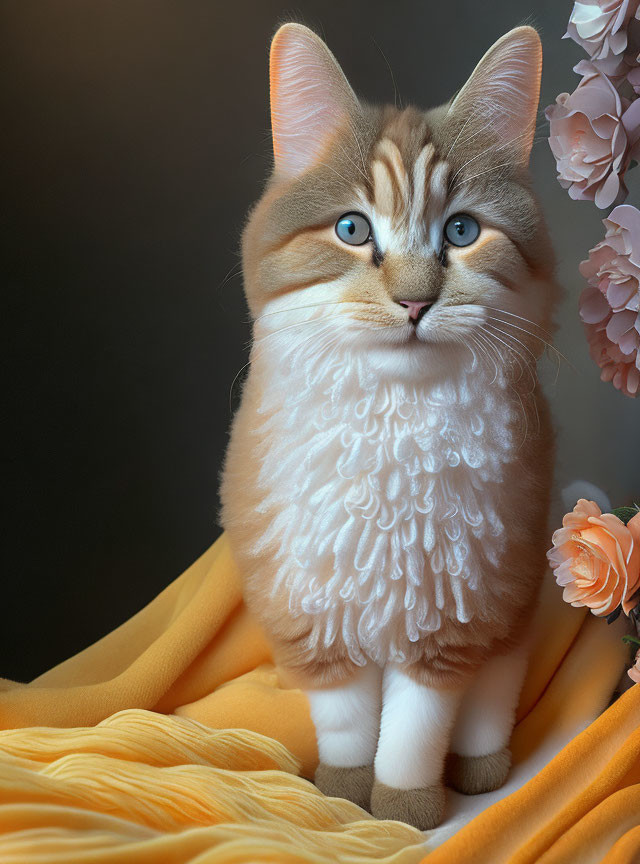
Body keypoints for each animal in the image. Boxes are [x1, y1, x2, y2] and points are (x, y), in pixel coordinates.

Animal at [218, 22, 556, 832]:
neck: (393, 423)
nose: (413, 302)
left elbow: (412, 733)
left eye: (461, 231)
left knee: (489, 705)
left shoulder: (451, 619)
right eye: (351, 228)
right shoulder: (315, 611)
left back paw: (479, 769)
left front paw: (407, 811)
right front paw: (345, 796)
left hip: (515, 610)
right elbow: (346, 723)